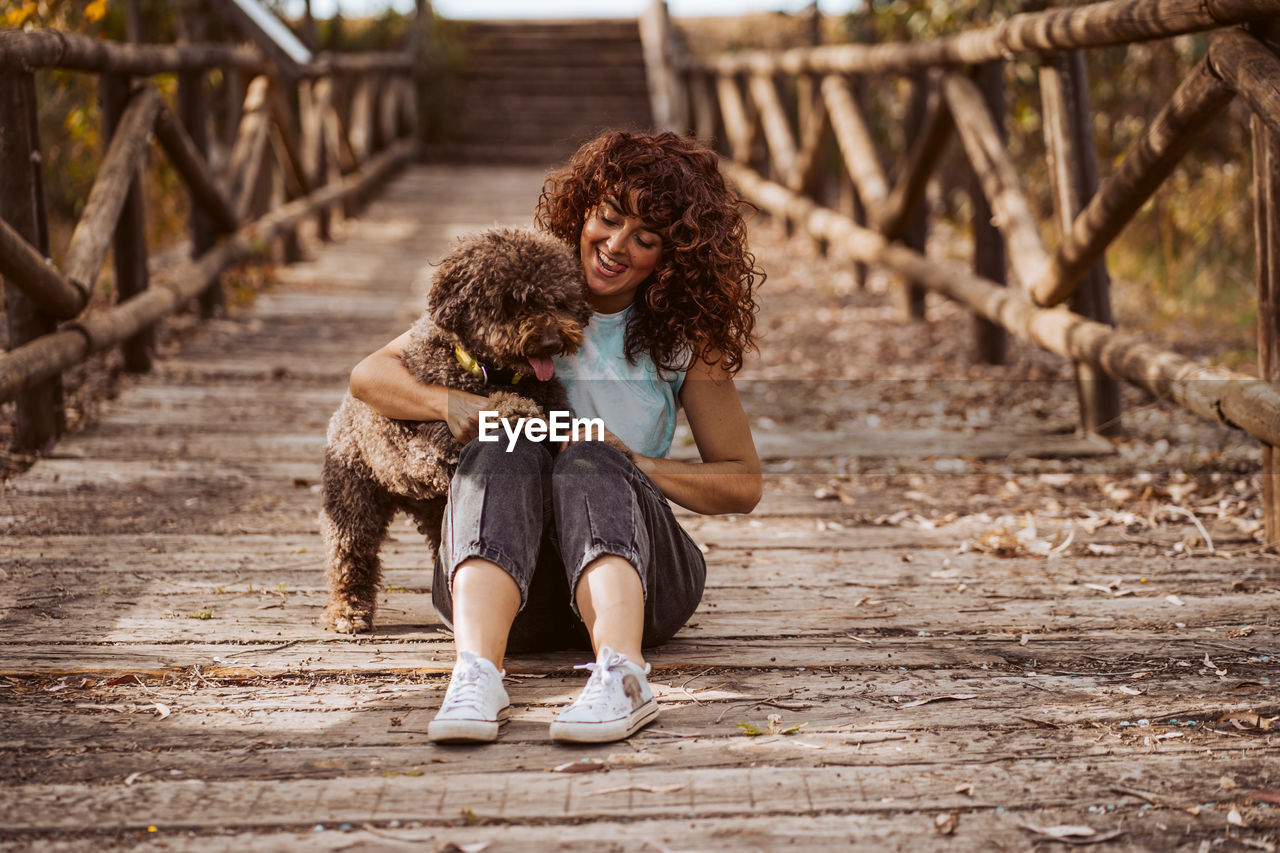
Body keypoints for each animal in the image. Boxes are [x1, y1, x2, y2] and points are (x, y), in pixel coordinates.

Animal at [320, 224, 588, 630]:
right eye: (512, 302)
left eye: (559, 300)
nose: (551, 341)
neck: (491, 371)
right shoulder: (434, 441)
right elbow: (502, 411)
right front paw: (519, 411)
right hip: (354, 497)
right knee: (350, 553)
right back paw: (348, 612)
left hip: (433, 507)